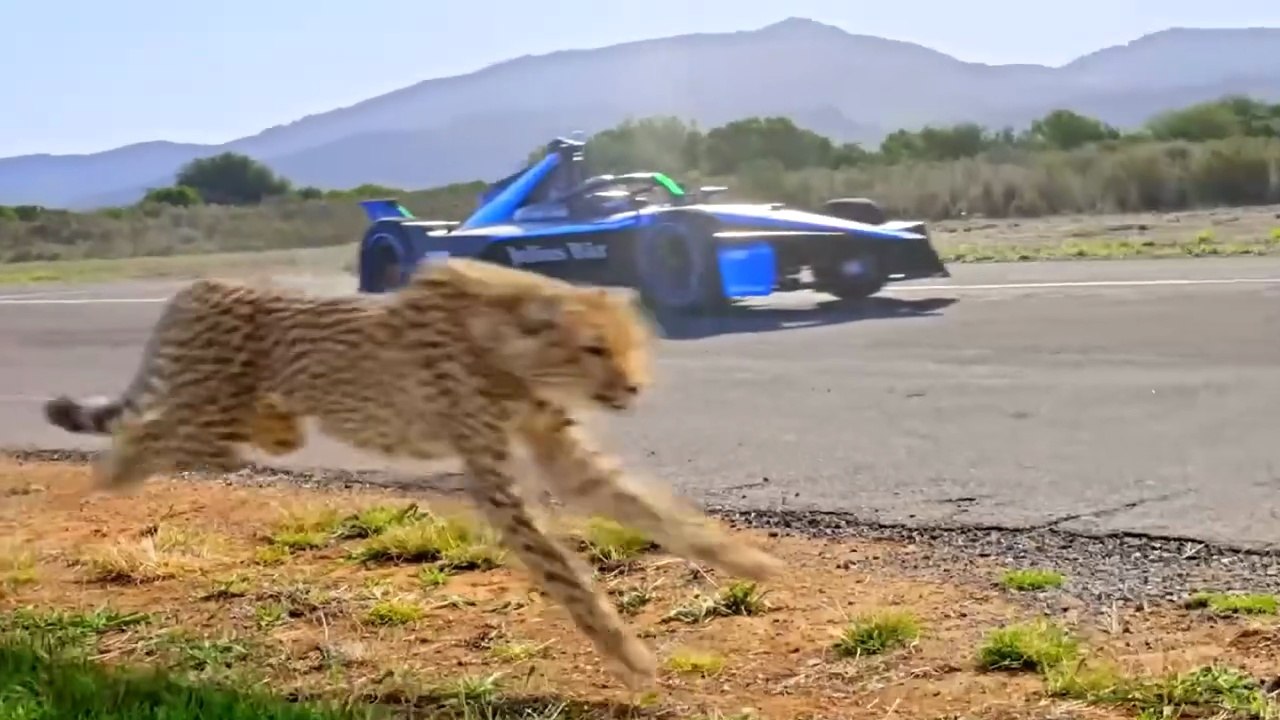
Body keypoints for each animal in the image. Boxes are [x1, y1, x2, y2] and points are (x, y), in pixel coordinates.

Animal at [41, 257, 783, 690]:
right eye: (594, 348)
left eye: (633, 344)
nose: (630, 387)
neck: (506, 338)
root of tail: (198, 284)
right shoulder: (493, 476)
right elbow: (565, 573)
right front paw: (629, 656)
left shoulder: (558, 448)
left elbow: (648, 507)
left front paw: (748, 561)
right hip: (205, 412)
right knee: (148, 432)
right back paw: (109, 474)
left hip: (243, 414)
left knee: (227, 431)